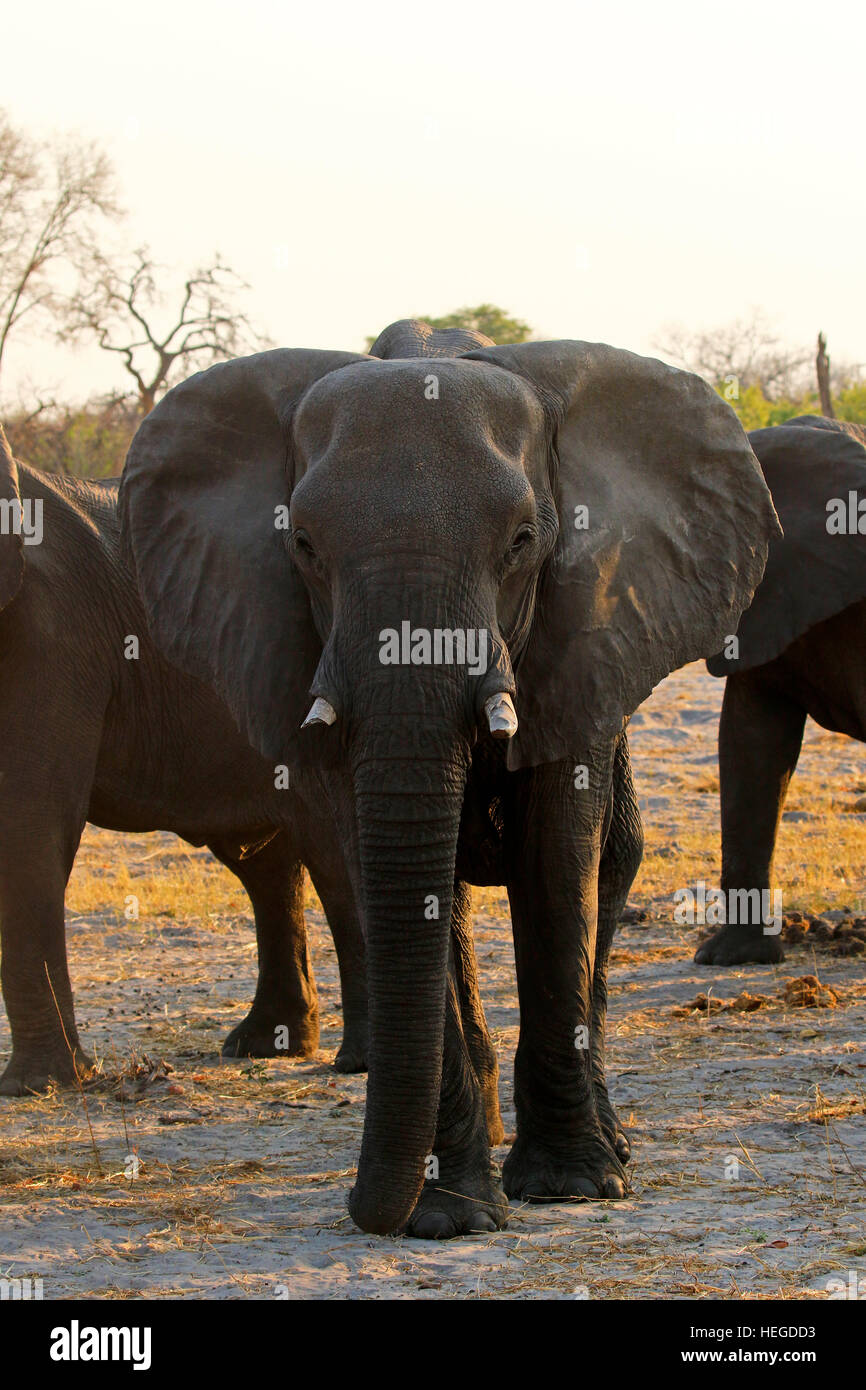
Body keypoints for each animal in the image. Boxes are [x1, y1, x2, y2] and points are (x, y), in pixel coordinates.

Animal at [0, 422, 369, 1095]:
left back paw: (355, 1060)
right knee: (268, 862)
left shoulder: (50, 633)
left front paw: (38, 1087)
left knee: (330, 851)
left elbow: (28, 819)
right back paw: (264, 1047)